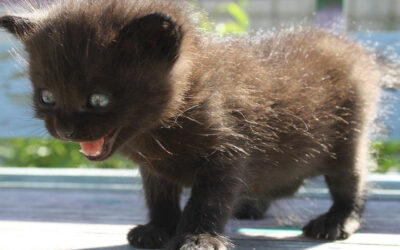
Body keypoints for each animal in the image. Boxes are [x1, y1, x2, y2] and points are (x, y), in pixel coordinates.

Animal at [0, 0, 382, 250]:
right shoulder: (155, 168)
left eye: (98, 99)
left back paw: (336, 221)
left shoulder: (227, 153)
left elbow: (208, 200)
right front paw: (158, 228)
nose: (64, 131)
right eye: (47, 96)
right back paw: (250, 205)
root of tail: (349, 47)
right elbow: (159, 197)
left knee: (351, 182)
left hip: (348, 139)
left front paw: (199, 238)